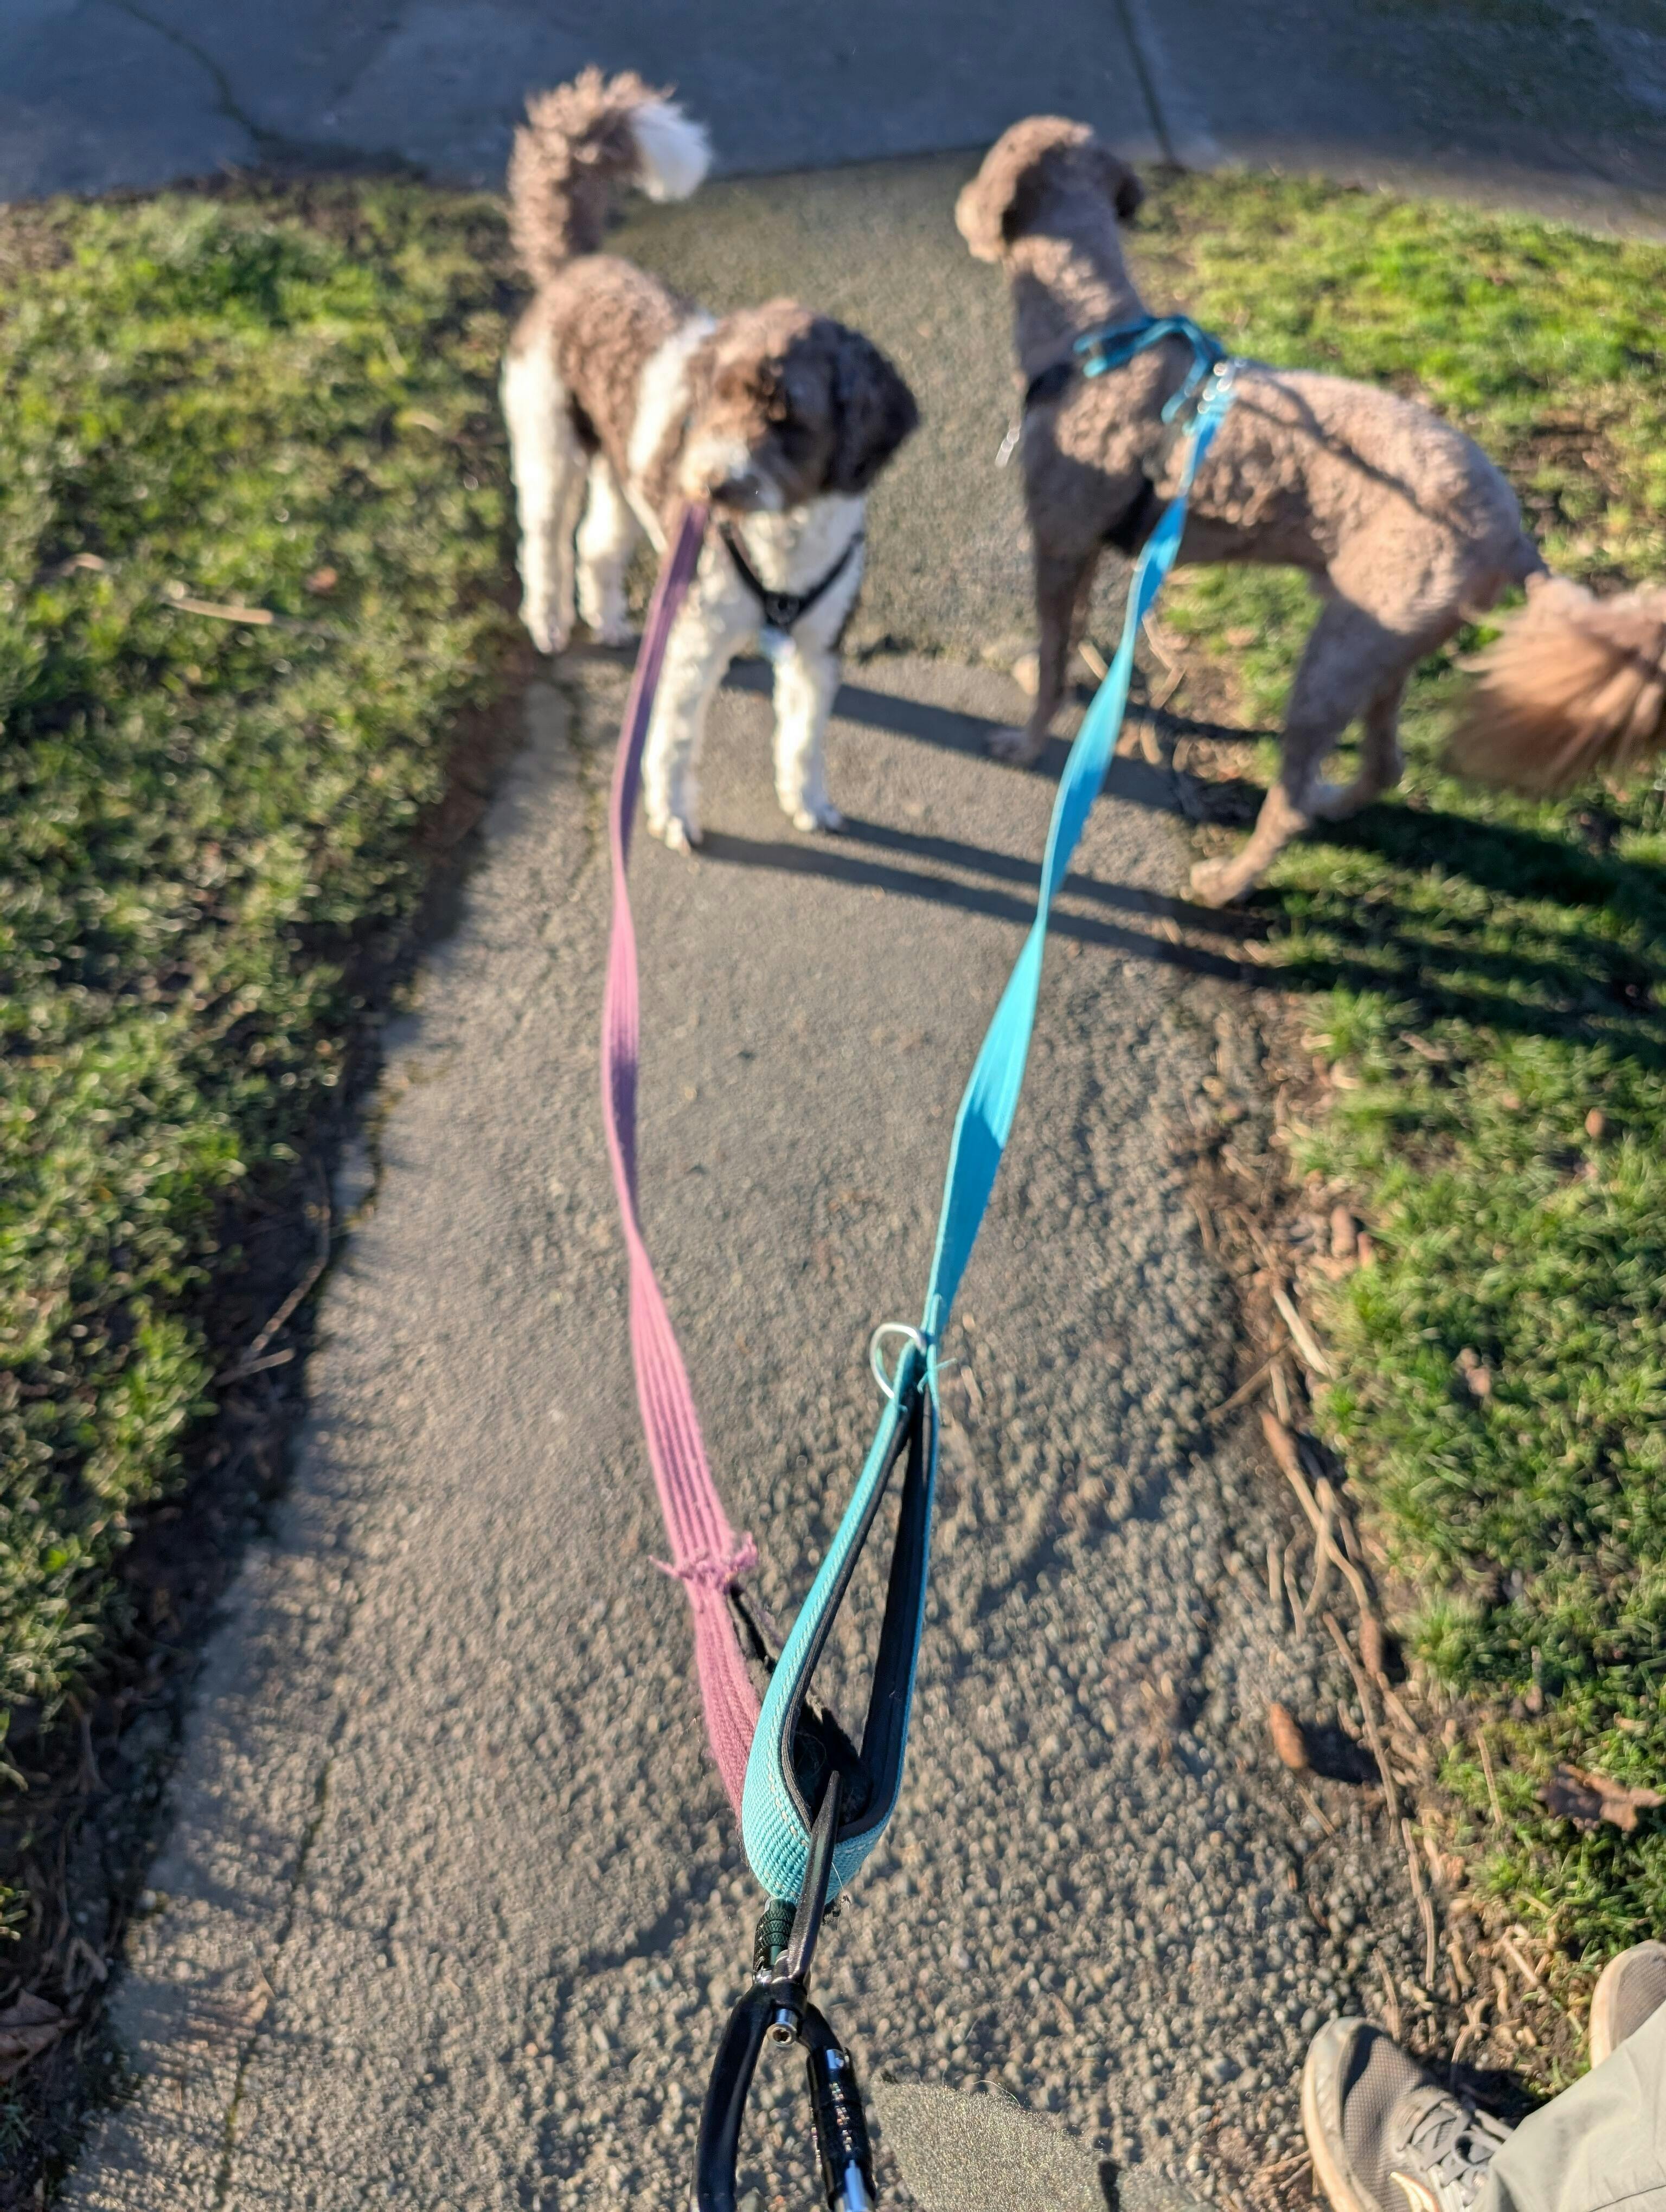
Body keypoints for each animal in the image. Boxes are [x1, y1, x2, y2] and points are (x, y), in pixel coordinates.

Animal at [502, 69, 918, 852]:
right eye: (714, 398)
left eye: (786, 416)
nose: (709, 482)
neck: (784, 541)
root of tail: (580, 265)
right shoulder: (693, 646)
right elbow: (669, 741)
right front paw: (671, 815)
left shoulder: (818, 646)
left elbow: (804, 736)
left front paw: (809, 802)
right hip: (548, 445)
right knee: (543, 541)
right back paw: (548, 620)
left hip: (622, 476)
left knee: (597, 545)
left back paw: (607, 618)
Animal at [957, 117, 1666, 905]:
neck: (1095, 339)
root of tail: (1514, 536)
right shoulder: (1079, 552)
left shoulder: (1058, 545)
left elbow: (1056, 658)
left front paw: (1025, 743)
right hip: (1383, 651)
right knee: (1385, 766)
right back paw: (1333, 804)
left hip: (1336, 658)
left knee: (1290, 799)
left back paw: (1227, 882)